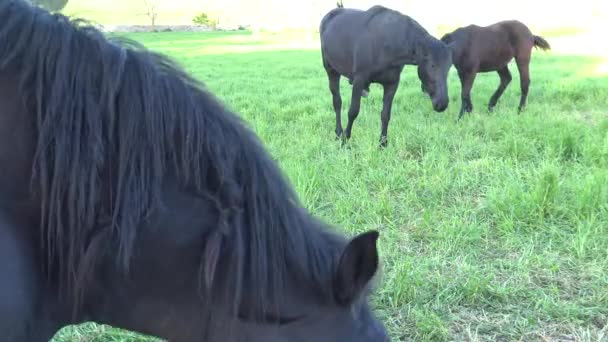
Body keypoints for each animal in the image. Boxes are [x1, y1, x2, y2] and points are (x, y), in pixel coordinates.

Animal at [318, 5, 452, 147]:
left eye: (449, 67)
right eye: (432, 66)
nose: (442, 103)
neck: (389, 42)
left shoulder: (392, 84)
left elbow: (386, 114)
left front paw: (383, 143)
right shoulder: (359, 79)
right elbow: (353, 111)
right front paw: (345, 138)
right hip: (331, 70)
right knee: (337, 102)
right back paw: (338, 132)